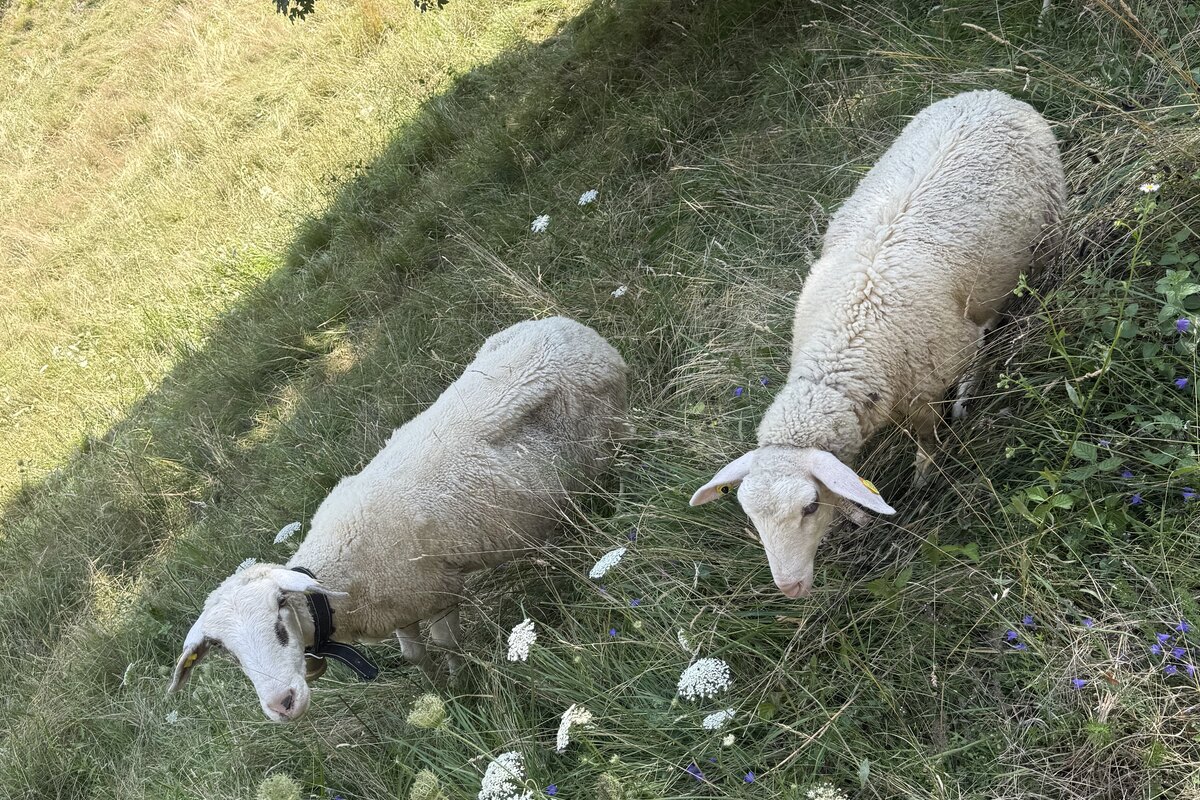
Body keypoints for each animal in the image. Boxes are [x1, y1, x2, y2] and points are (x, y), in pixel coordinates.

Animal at [168, 316, 628, 721]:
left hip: (609, 442)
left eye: (280, 615)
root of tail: (571, 328)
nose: (282, 704)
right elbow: (414, 655)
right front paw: (438, 693)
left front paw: (462, 686)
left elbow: (448, 646)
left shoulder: (439, 589)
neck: (336, 572)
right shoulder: (399, 606)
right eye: (227, 652)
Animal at [690, 89, 1066, 599]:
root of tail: (990, 94)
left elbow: (927, 438)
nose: (790, 588)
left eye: (809, 506)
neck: (837, 358)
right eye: (751, 514)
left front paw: (926, 474)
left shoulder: (926, 382)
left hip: (1048, 231)